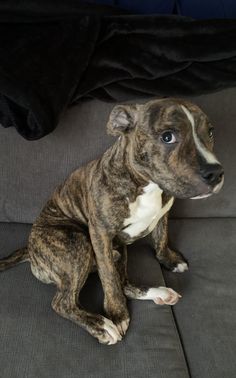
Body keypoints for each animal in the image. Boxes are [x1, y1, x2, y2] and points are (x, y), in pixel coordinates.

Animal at [0, 98, 224, 346]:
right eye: (168, 136)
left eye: (210, 132)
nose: (216, 173)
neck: (145, 184)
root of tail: (30, 250)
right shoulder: (101, 234)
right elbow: (108, 280)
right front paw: (117, 315)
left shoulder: (163, 214)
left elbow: (162, 238)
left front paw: (170, 260)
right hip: (76, 243)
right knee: (64, 302)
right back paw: (101, 325)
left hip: (118, 252)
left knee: (123, 283)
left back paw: (160, 293)